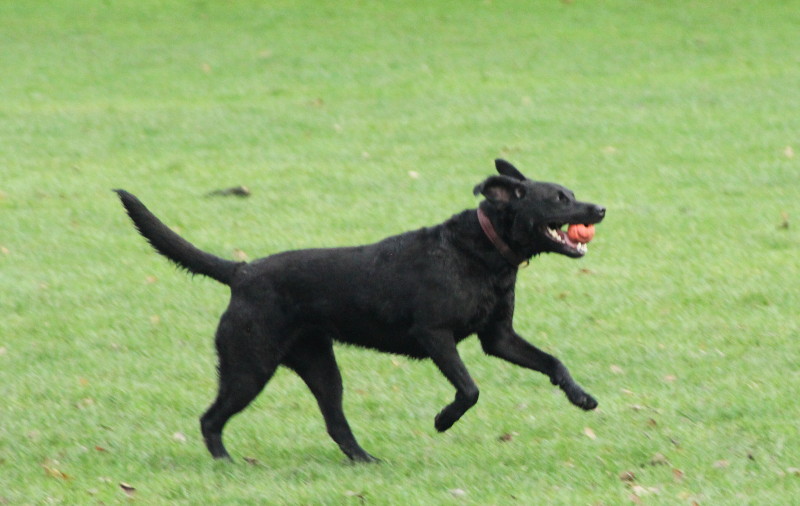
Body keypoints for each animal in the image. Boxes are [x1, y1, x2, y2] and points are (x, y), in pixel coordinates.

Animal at [115, 159, 608, 462]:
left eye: (571, 193)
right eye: (559, 199)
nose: (600, 207)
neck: (481, 251)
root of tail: (241, 272)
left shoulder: (498, 338)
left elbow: (552, 361)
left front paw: (581, 396)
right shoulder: (435, 335)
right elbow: (469, 390)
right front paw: (443, 420)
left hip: (320, 368)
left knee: (336, 423)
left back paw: (365, 460)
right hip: (248, 368)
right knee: (210, 419)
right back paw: (226, 463)